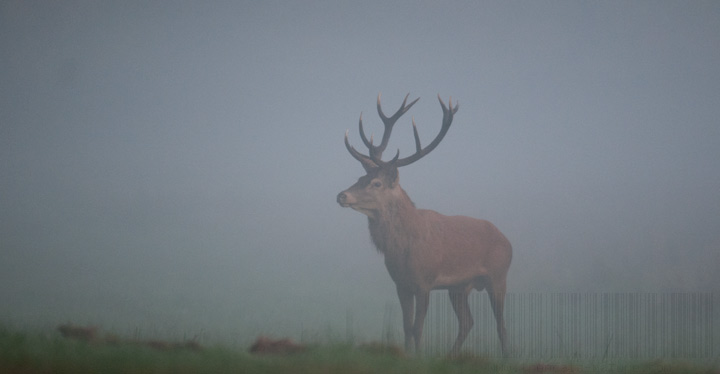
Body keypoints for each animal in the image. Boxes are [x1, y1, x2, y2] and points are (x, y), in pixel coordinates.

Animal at [338, 93, 512, 356]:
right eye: (360, 178)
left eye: (377, 183)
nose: (341, 195)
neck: (403, 249)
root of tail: (508, 242)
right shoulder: (401, 284)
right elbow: (406, 326)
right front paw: (408, 355)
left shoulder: (424, 282)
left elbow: (418, 327)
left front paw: (419, 358)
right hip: (459, 287)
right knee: (467, 322)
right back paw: (450, 356)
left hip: (498, 276)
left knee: (501, 325)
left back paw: (504, 359)